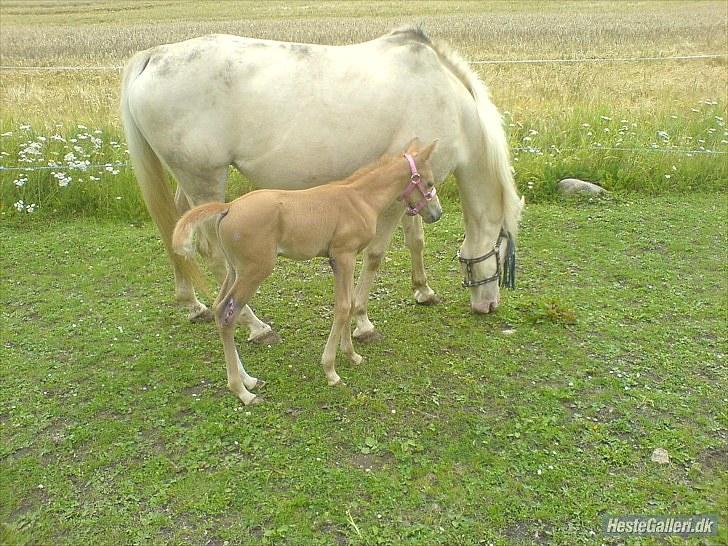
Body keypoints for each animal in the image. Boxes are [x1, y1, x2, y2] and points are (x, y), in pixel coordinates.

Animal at [119, 27, 520, 340]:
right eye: (502, 258)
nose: (489, 305)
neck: (447, 99)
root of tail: (153, 56)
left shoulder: (417, 187)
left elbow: (415, 240)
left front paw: (423, 291)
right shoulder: (394, 198)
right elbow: (376, 254)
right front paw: (362, 321)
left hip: (190, 181)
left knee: (178, 231)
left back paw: (193, 303)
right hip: (204, 179)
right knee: (214, 254)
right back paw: (254, 325)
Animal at [173, 139, 440, 404]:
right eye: (429, 183)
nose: (436, 214)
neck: (360, 198)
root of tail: (228, 207)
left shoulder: (338, 260)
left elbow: (349, 303)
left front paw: (352, 355)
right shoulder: (344, 255)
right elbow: (343, 306)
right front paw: (331, 370)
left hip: (234, 270)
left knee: (219, 307)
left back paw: (248, 380)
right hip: (253, 272)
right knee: (227, 315)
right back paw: (243, 391)